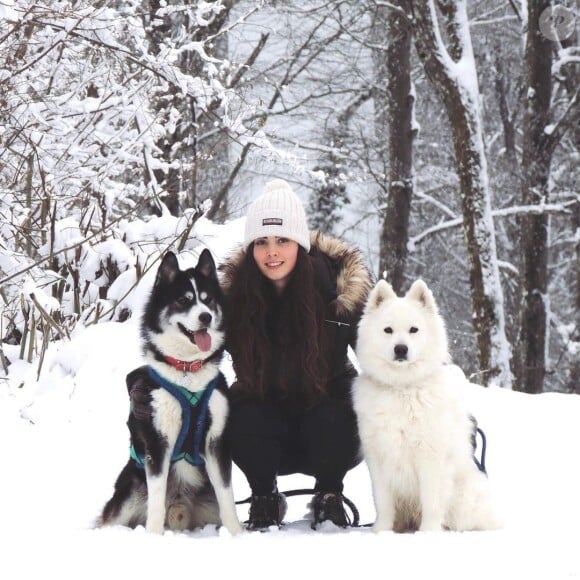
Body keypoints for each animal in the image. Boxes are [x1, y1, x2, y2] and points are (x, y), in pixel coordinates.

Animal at [352, 278, 500, 532]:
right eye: (388, 330)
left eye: (414, 329)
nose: (401, 349)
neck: (402, 388)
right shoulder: (378, 457)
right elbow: (382, 502)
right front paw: (380, 531)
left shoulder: (430, 457)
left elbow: (431, 500)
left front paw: (428, 532)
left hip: (465, 496)